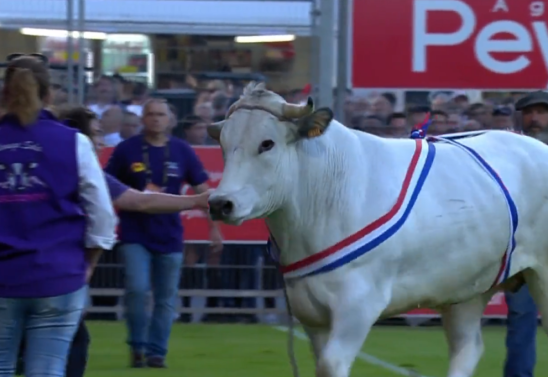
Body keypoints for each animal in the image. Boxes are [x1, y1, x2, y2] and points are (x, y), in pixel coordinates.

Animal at [208, 83, 548, 376]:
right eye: (222, 144)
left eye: (267, 143)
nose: (220, 203)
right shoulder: (310, 314)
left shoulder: (358, 305)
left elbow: (331, 364)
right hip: (467, 288)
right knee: (467, 349)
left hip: (541, 276)